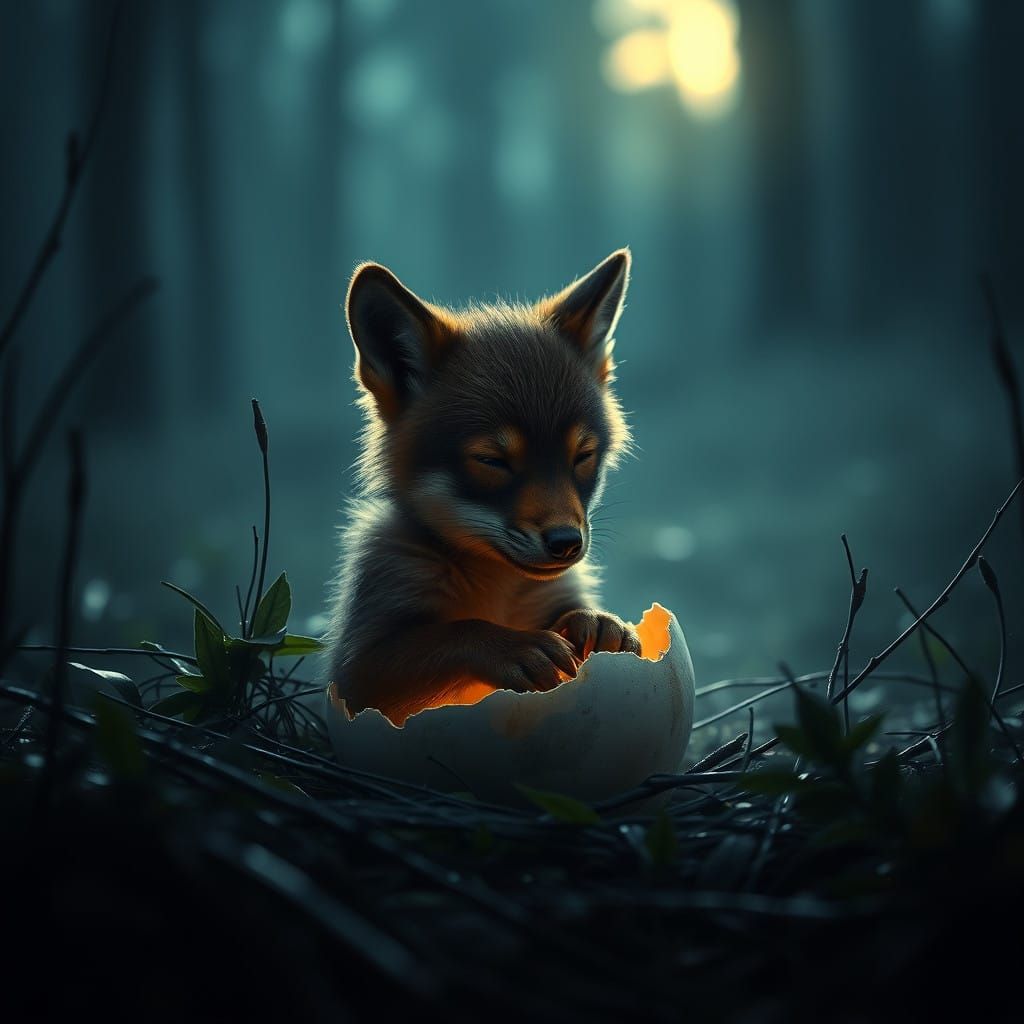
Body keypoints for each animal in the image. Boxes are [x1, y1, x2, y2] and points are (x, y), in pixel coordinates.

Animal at [322, 250, 640, 725]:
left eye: (582, 456)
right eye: (493, 461)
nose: (566, 543)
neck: (497, 592)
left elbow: (575, 610)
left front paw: (598, 620)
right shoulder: (356, 668)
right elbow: (456, 631)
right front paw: (508, 645)